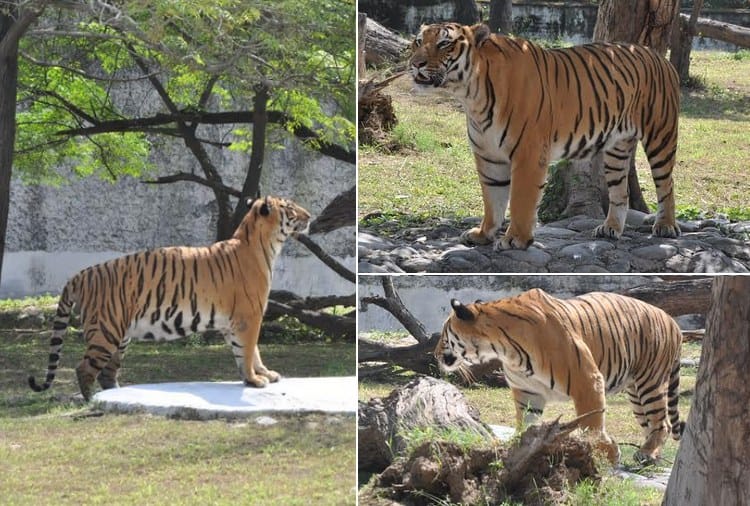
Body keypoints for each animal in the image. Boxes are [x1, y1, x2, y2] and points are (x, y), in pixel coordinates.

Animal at [29, 195, 311, 401]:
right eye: (290, 207)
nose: (309, 216)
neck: (265, 245)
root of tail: (81, 274)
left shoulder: (234, 322)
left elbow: (250, 352)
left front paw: (263, 374)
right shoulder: (248, 317)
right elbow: (249, 350)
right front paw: (254, 380)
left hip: (120, 335)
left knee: (107, 372)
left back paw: (116, 393)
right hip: (105, 331)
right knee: (85, 369)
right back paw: (92, 400)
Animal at [409, 22, 681, 250]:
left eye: (444, 43)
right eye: (417, 41)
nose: (415, 63)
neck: (471, 95)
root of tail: (657, 55)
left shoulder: (527, 153)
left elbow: (520, 200)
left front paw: (515, 239)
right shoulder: (488, 156)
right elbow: (492, 199)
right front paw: (483, 234)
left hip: (661, 135)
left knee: (666, 184)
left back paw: (665, 226)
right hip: (617, 149)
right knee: (620, 192)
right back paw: (610, 228)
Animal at [436, 288, 685, 464]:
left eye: (443, 334)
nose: (435, 354)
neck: (503, 348)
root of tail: (672, 320)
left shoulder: (588, 380)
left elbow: (591, 424)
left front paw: (607, 452)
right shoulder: (527, 392)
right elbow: (526, 422)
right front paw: (519, 447)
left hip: (650, 382)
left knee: (663, 423)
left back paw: (647, 454)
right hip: (635, 392)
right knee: (651, 424)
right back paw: (648, 453)